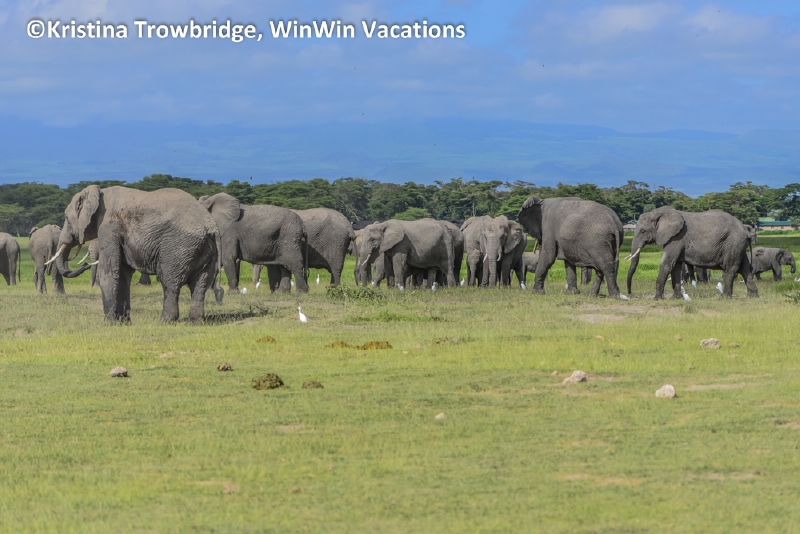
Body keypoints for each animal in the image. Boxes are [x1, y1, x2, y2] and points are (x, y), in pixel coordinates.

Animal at [49, 186, 239, 322]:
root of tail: (211, 226)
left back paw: (164, 321)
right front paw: (124, 323)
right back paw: (195, 321)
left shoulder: (109, 228)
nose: (85, 264)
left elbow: (110, 272)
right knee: (200, 283)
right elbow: (123, 275)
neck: (99, 193)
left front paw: (109, 323)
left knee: (170, 281)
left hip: (179, 246)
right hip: (206, 249)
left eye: (66, 218)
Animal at [626, 207, 758, 299]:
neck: (660, 213)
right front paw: (675, 298)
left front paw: (657, 299)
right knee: (745, 268)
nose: (630, 293)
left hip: (732, 242)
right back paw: (753, 296)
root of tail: (745, 230)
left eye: (643, 231)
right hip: (738, 245)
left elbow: (667, 262)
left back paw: (725, 298)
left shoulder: (677, 237)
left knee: (730, 268)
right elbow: (676, 266)